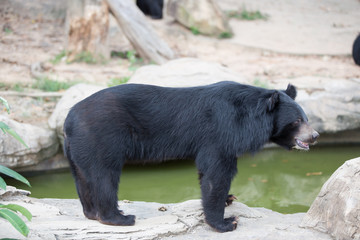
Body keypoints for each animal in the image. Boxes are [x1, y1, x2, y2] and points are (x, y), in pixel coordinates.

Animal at [64, 81, 318, 232]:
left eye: (306, 118)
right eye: (296, 121)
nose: (315, 136)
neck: (248, 117)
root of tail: (68, 120)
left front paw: (229, 198)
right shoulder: (221, 131)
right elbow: (217, 172)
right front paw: (226, 222)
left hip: (78, 150)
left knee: (83, 178)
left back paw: (91, 214)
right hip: (101, 139)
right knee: (104, 177)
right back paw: (119, 218)